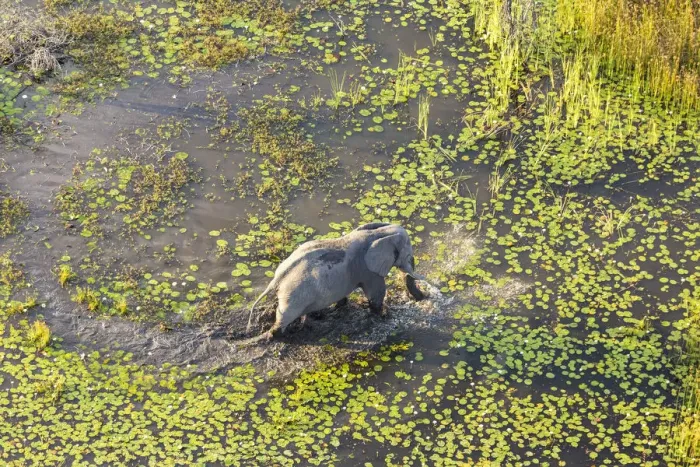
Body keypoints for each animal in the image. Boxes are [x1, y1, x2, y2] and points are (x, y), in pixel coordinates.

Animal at [244, 222, 428, 342]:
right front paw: (383, 315)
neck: (379, 233)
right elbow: (376, 293)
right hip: (294, 297)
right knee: (283, 319)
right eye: (408, 255)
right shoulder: (368, 271)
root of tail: (277, 278)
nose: (424, 296)